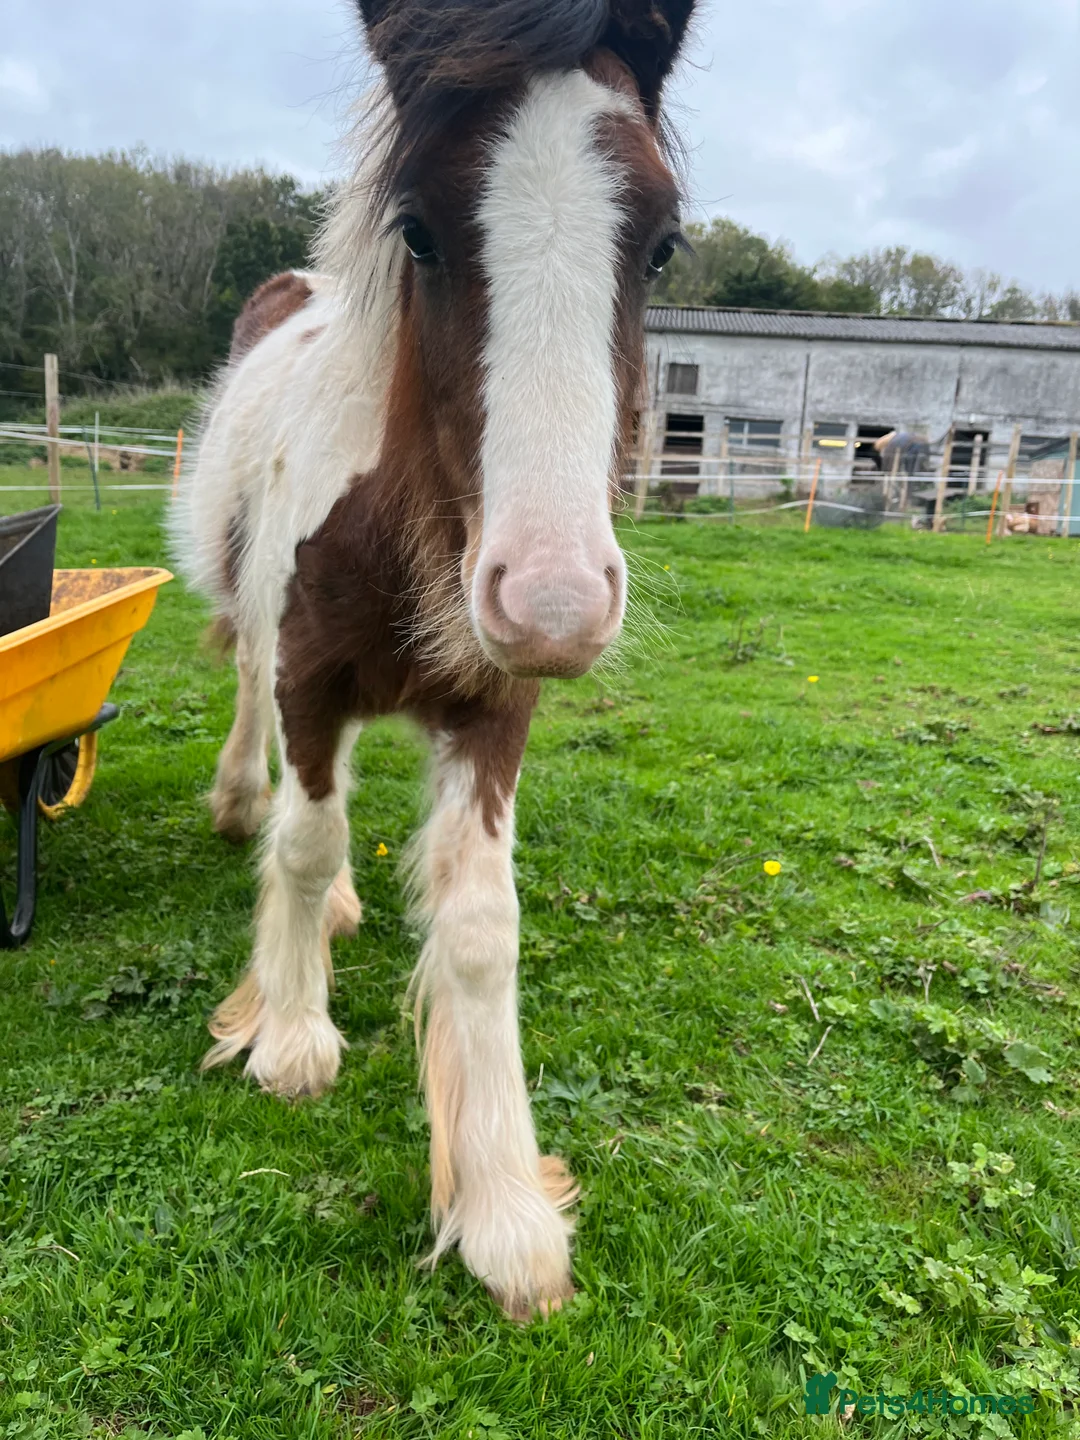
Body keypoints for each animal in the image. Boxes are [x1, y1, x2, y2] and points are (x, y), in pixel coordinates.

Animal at [172, 0, 695, 1321]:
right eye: (415, 228)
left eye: (662, 246)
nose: (555, 601)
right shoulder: (311, 675)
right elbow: (305, 844)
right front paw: (287, 1037)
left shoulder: (491, 708)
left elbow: (477, 927)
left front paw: (504, 1209)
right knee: (260, 726)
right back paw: (243, 810)